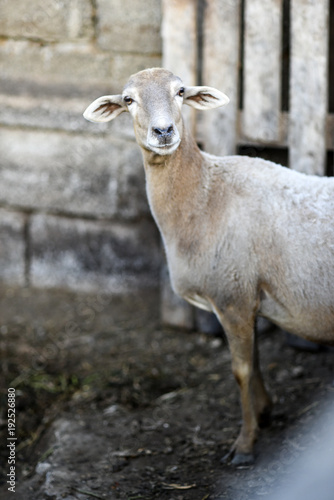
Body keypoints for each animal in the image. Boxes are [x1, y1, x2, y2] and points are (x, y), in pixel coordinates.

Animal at [84, 68, 334, 466]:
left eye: (180, 91)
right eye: (128, 100)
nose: (164, 131)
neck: (206, 195)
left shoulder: (231, 294)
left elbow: (241, 371)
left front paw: (244, 445)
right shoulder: (245, 297)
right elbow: (255, 362)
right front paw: (264, 412)